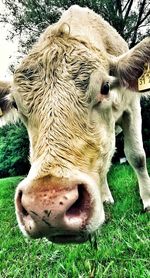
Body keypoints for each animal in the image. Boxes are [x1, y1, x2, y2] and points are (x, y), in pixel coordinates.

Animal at [0, 4, 150, 243]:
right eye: (15, 103)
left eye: (105, 87)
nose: (47, 205)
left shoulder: (132, 106)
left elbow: (137, 156)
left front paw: (147, 202)